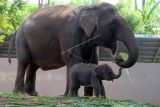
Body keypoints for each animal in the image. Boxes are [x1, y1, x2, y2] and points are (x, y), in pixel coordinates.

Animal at [10, 2, 139, 96]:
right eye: (113, 24)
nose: (119, 58)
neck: (91, 7)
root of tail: (18, 27)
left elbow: (92, 61)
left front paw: (87, 97)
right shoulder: (70, 32)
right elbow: (73, 60)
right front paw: (69, 96)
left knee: (33, 66)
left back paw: (33, 94)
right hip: (22, 38)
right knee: (24, 60)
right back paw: (20, 93)